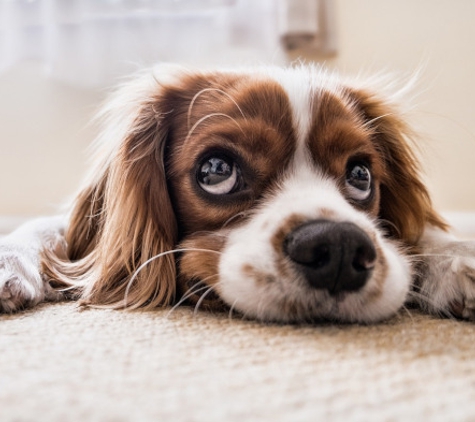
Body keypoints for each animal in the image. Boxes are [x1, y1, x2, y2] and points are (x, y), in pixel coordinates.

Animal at [0, 63, 475, 324]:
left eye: (361, 175)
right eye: (216, 171)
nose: (339, 248)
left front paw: (456, 256)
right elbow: (50, 227)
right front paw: (11, 259)